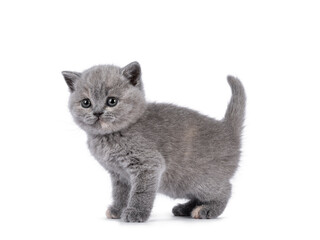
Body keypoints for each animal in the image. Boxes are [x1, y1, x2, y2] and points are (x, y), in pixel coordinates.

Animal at [63, 62, 248, 223]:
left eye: (112, 101)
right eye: (86, 103)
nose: (97, 113)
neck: (110, 136)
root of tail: (227, 129)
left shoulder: (148, 164)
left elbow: (140, 192)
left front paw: (135, 212)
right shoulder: (118, 174)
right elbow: (120, 193)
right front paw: (118, 209)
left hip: (198, 180)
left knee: (225, 190)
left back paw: (206, 210)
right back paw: (185, 208)